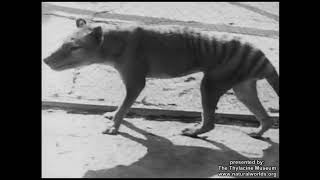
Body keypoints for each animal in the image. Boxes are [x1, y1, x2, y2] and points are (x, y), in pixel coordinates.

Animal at [43, 19, 278, 139]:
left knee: (210, 122)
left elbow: (124, 108)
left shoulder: (136, 83)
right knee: (267, 118)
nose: (45, 59)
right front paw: (113, 118)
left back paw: (194, 131)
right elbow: (122, 107)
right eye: (63, 42)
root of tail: (261, 55)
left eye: (74, 47)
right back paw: (259, 132)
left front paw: (114, 127)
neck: (115, 42)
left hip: (210, 85)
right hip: (243, 90)